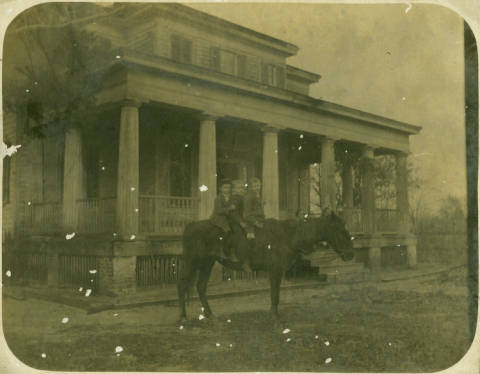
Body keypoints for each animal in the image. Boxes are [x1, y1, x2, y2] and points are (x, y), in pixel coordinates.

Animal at [176, 212, 352, 322]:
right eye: (339, 229)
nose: (350, 254)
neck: (289, 235)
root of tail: (191, 226)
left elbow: (275, 294)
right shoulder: (275, 270)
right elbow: (275, 295)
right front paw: (274, 316)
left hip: (208, 262)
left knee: (200, 286)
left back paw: (210, 315)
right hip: (192, 261)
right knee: (182, 284)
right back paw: (183, 317)